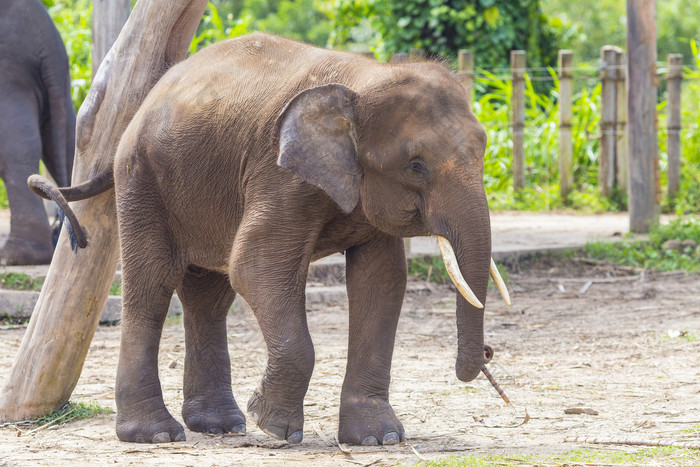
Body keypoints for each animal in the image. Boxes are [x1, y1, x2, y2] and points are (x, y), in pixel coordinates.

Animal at [28, 33, 508, 446]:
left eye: (484, 148)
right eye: (415, 165)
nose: (488, 353)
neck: (361, 80)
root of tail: (146, 98)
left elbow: (382, 281)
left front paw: (379, 439)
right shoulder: (279, 174)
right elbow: (256, 267)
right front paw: (275, 427)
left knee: (209, 295)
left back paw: (219, 426)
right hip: (142, 177)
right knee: (153, 285)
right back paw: (157, 435)